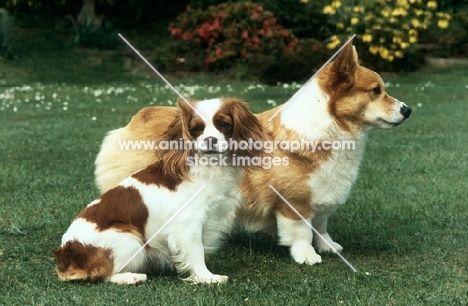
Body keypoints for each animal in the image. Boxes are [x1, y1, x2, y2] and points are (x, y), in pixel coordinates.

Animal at [53, 98, 266, 284]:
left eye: (223, 124)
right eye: (197, 129)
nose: (210, 140)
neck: (211, 165)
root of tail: (65, 252)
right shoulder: (188, 222)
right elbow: (197, 251)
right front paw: (206, 277)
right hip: (130, 238)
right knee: (102, 274)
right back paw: (130, 277)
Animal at [94, 42, 410, 266]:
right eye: (376, 90)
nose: (408, 110)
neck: (330, 126)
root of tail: (140, 117)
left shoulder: (320, 197)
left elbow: (321, 225)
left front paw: (330, 247)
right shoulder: (294, 203)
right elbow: (302, 232)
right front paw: (308, 256)